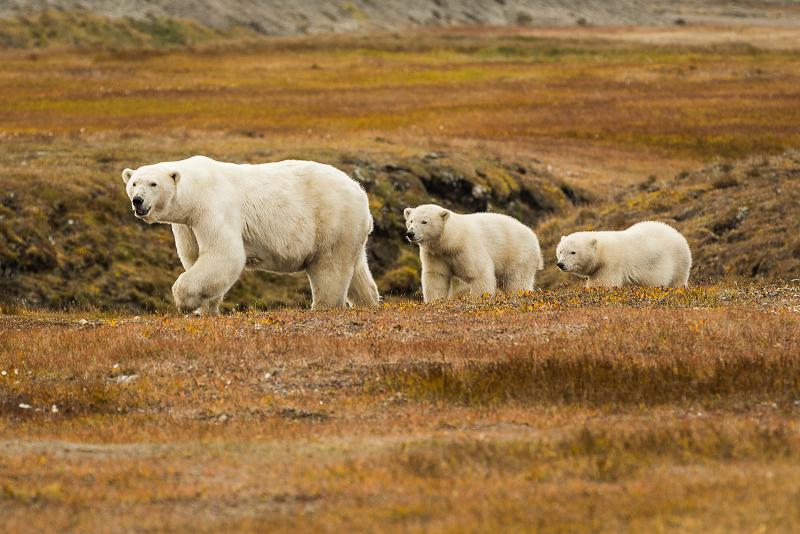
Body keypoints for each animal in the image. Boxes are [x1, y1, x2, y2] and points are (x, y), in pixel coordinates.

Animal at [121, 155, 378, 314]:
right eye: (134, 183)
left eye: (153, 184)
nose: (138, 201)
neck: (195, 190)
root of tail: (360, 191)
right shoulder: (187, 225)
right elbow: (194, 257)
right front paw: (206, 308)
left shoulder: (213, 207)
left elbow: (225, 255)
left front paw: (183, 301)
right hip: (350, 230)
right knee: (357, 270)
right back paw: (368, 303)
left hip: (332, 220)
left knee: (330, 269)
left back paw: (322, 306)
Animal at [406, 204, 544, 304]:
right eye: (411, 221)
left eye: (424, 221)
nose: (410, 233)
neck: (450, 241)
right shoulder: (436, 255)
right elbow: (436, 276)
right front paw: (435, 301)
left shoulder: (467, 248)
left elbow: (479, 274)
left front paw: (480, 298)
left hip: (518, 255)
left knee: (517, 282)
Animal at [556, 222, 692, 288]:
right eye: (560, 251)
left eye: (573, 252)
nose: (560, 264)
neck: (602, 252)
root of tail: (678, 234)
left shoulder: (610, 265)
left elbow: (603, 285)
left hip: (679, 261)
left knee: (677, 281)